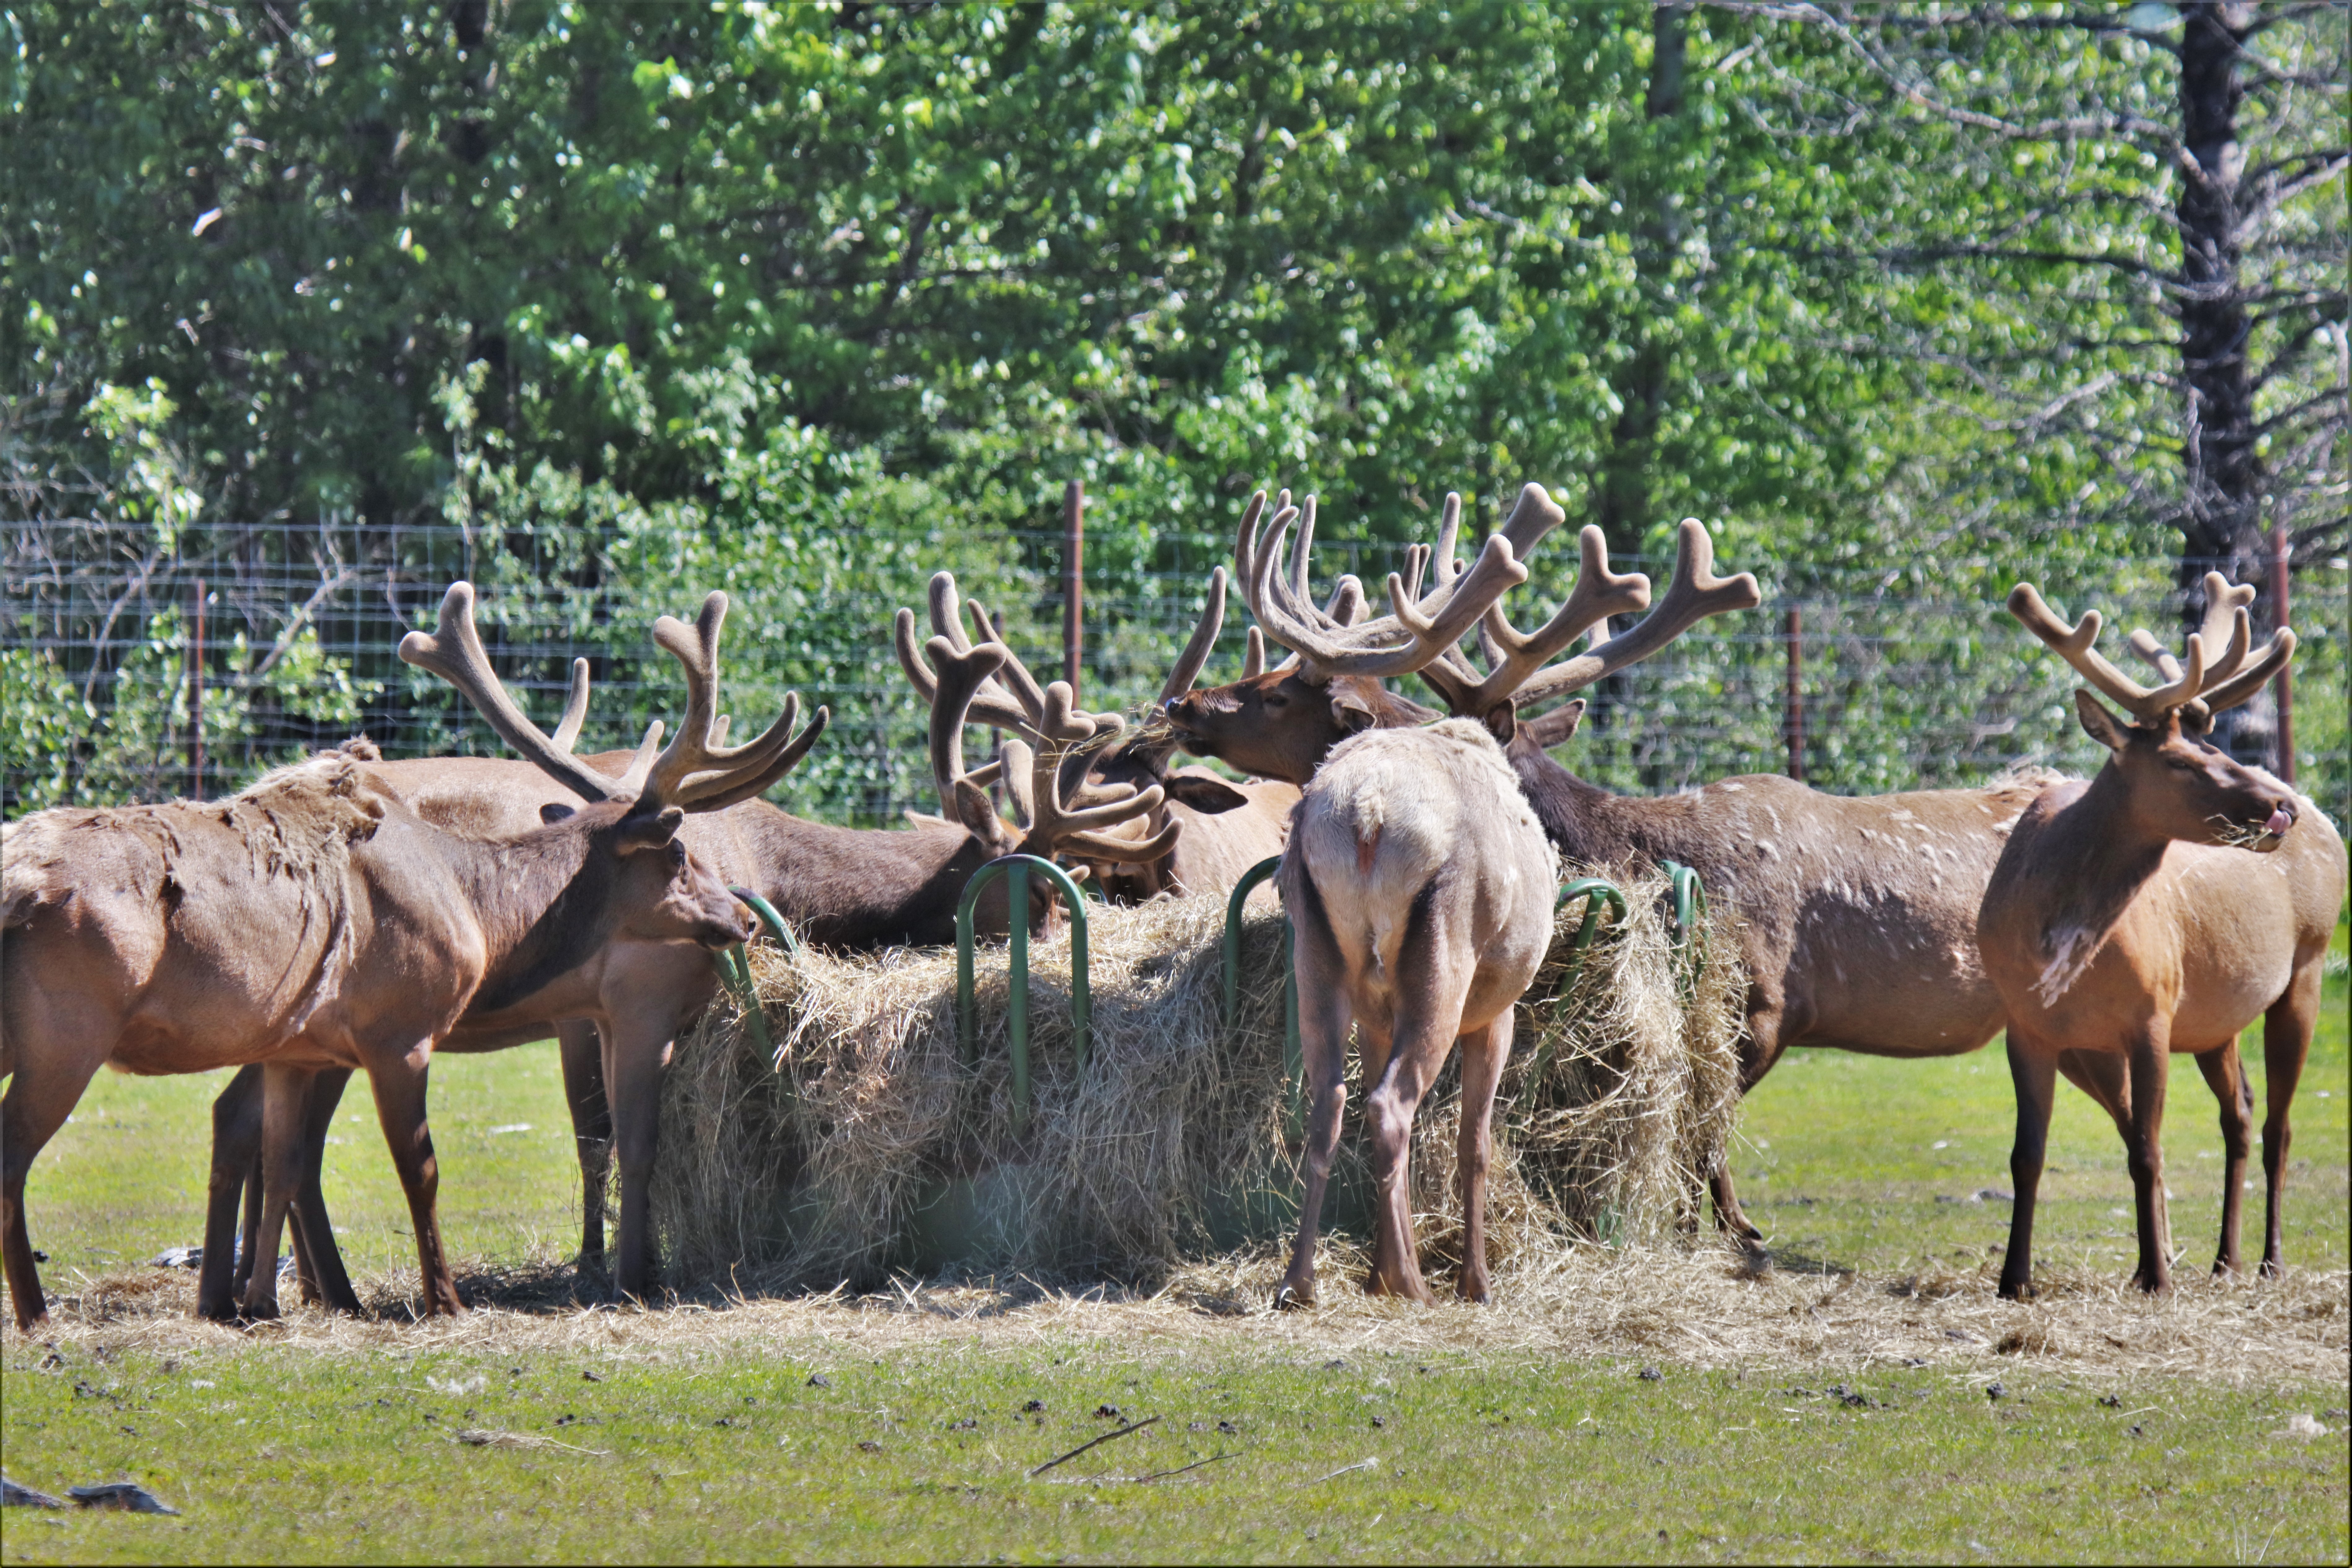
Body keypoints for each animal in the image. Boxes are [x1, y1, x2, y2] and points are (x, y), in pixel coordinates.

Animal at [4, 583, 823, 1335]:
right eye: (680, 854)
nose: (742, 917)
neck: (477, 904)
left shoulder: (299, 1047)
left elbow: (286, 1160)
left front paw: (260, 1302)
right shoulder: (402, 1030)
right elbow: (425, 1166)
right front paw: (450, 1299)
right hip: (67, 1033)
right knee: (16, 1153)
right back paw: (38, 1313)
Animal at [1976, 576, 2342, 1298]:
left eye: (2214, 748)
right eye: (2178, 761)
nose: (2278, 806)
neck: (2057, 938)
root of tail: (2330, 822)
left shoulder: (2152, 1014)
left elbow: (2145, 1150)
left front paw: (2153, 1275)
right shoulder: (2028, 1026)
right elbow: (2026, 1154)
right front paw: (2013, 1278)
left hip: (2308, 967)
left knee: (2281, 1126)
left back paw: (2269, 1260)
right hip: (2213, 1022)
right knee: (2241, 1114)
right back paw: (2225, 1258)